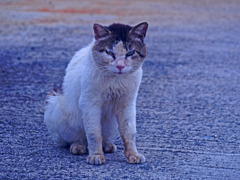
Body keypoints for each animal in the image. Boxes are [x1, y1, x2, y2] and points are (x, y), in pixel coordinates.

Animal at [43, 22, 148, 165]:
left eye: (131, 52)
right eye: (109, 52)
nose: (120, 66)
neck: (115, 80)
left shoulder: (127, 104)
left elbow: (129, 132)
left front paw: (133, 154)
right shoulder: (90, 103)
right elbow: (94, 132)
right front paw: (96, 155)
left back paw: (107, 145)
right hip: (56, 105)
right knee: (71, 138)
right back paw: (78, 146)